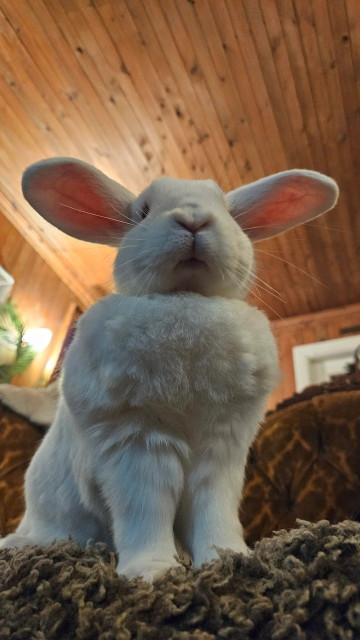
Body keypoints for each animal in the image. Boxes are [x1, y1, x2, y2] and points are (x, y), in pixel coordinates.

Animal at [0, 158, 338, 584]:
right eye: (144, 211)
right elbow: (146, 512)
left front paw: (228, 560)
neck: (186, 297)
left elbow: (214, 512)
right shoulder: (136, 443)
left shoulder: (221, 450)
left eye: (229, 211)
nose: (194, 220)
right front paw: (154, 573)